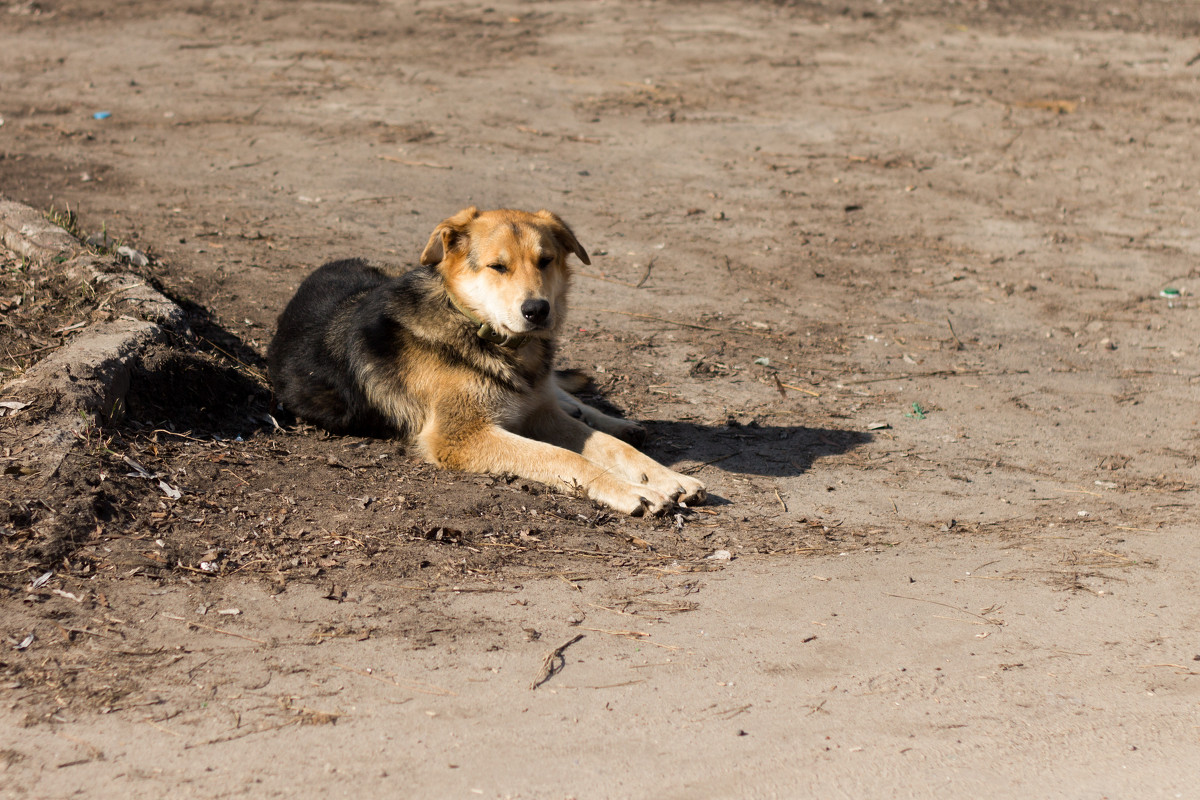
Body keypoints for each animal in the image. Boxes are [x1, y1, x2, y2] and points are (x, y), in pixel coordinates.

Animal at [267, 206, 705, 515]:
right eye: (498, 267)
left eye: (545, 261)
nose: (538, 311)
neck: (479, 328)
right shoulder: (461, 438)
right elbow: (563, 456)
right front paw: (633, 490)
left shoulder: (538, 414)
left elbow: (611, 448)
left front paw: (665, 476)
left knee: (566, 397)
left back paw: (614, 420)